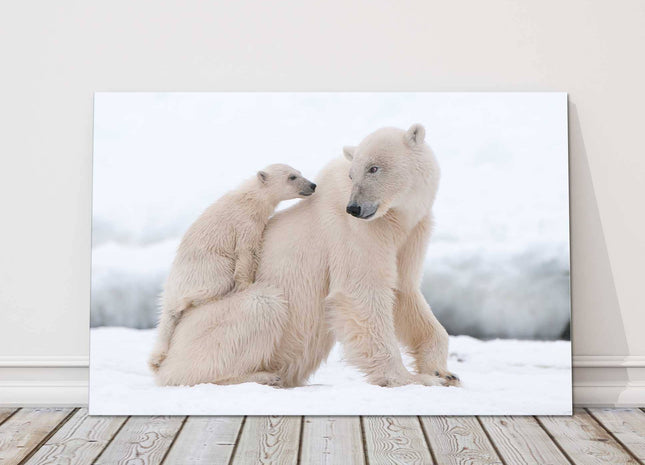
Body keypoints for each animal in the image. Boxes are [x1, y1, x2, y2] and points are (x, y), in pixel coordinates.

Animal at [148, 164, 316, 373]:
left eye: (299, 173)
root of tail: (171, 290)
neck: (251, 198)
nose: (312, 185)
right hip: (207, 269)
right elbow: (246, 252)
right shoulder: (244, 223)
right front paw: (246, 285)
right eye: (292, 177)